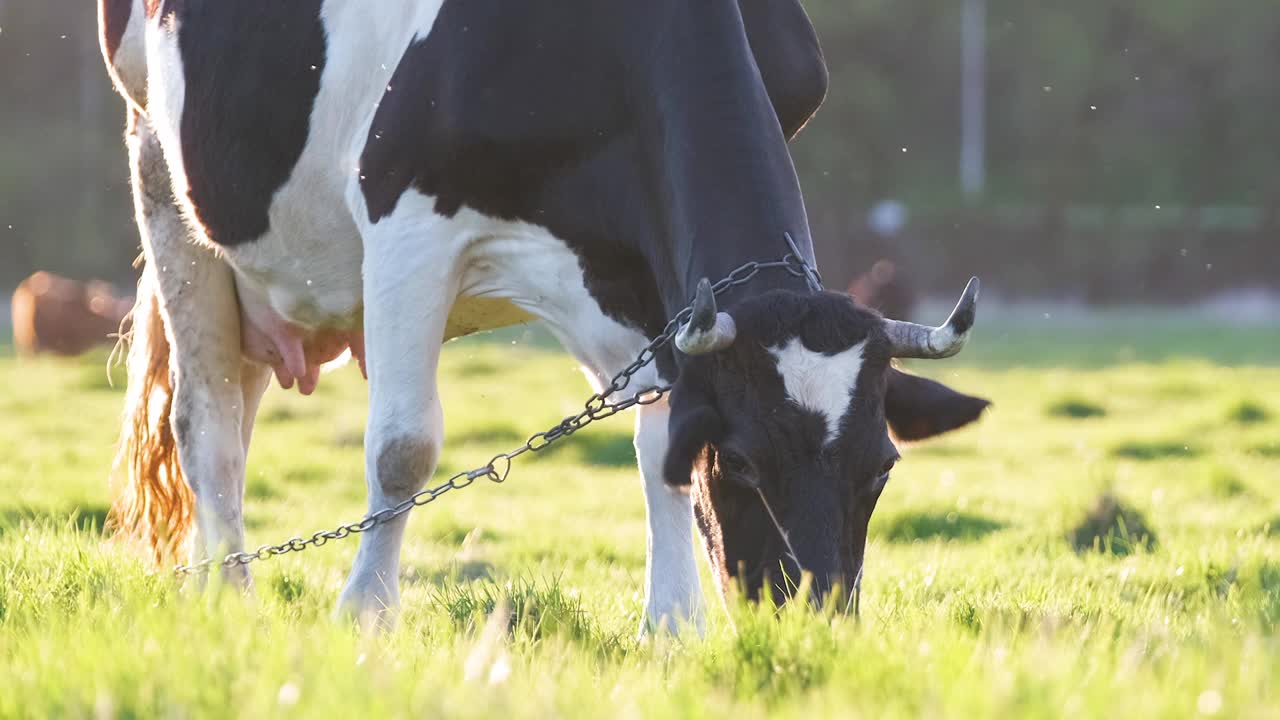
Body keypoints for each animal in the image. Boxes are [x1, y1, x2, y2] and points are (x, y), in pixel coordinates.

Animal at [104, 0, 993, 627]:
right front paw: (364, 615)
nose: (813, 623)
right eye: (740, 462)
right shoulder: (405, 217)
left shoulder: (653, 272)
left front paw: (673, 628)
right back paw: (231, 598)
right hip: (163, 174)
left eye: (882, 467)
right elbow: (403, 448)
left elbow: (659, 445)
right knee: (208, 428)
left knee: (240, 401)